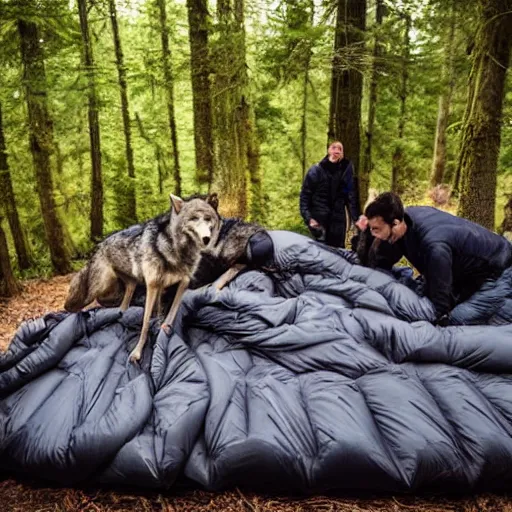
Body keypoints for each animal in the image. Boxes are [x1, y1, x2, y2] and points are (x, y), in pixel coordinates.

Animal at [64, 193, 220, 364]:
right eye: (193, 218)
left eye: (207, 219)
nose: (206, 238)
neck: (176, 250)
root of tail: (99, 244)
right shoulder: (152, 285)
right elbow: (145, 322)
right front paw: (137, 352)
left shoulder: (181, 283)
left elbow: (170, 311)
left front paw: (163, 328)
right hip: (100, 289)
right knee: (84, 304)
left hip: (128, 284)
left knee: (124, 302)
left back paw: (121, 313)